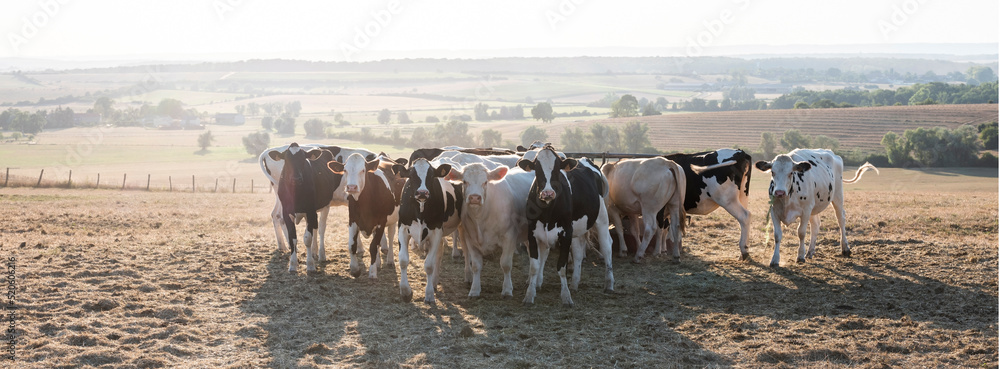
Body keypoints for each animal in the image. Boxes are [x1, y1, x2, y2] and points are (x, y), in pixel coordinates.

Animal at [268, 142, 342, 272]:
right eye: (286, 160)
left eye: (303, 159)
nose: (296, 179)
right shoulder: (287, 212)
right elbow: (293, 238)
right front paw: (292, 265)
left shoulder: (310, 210)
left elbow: (307, 238)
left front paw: (310, 265)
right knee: (315, 227)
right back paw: (314, 252)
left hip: (325, 205)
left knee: (321, 228)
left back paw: (321, 255)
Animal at [394, 158, 464, 302]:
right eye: (411, 175)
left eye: (431, 176)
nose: (422, 193)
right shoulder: (402, 228)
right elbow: (403, 260)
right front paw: (405, 291)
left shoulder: (436, 231)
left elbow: (429, 265)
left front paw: (429, 294)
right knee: (440, 252)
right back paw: (434, 282)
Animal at [520, 147, 612, 304]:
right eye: (537, 169)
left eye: (558, 169)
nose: (548, 193)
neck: (548, 213)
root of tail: (585, 160)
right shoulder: (533, 234)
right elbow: (534, 266)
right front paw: (530, 294)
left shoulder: (566, 234)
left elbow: (561, 266)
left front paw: (566, 296)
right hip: (577, 229)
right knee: (578, 253)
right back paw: (574, 283)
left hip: (601, 220)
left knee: (607, 247)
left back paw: (609, 284)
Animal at [752, 148, 880, 266]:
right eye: (772, 172)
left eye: (791, 173)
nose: (779, 192)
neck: (787, 199)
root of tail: (832, 153)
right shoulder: (774, 211)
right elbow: (777, 235)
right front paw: (775, 259)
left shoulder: (806, 210)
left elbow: (801, 232)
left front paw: (800, 256)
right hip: (814, 207)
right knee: (816, 225)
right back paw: (810, 251)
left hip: (837, 196)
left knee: (841, 220)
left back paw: (845, 248)